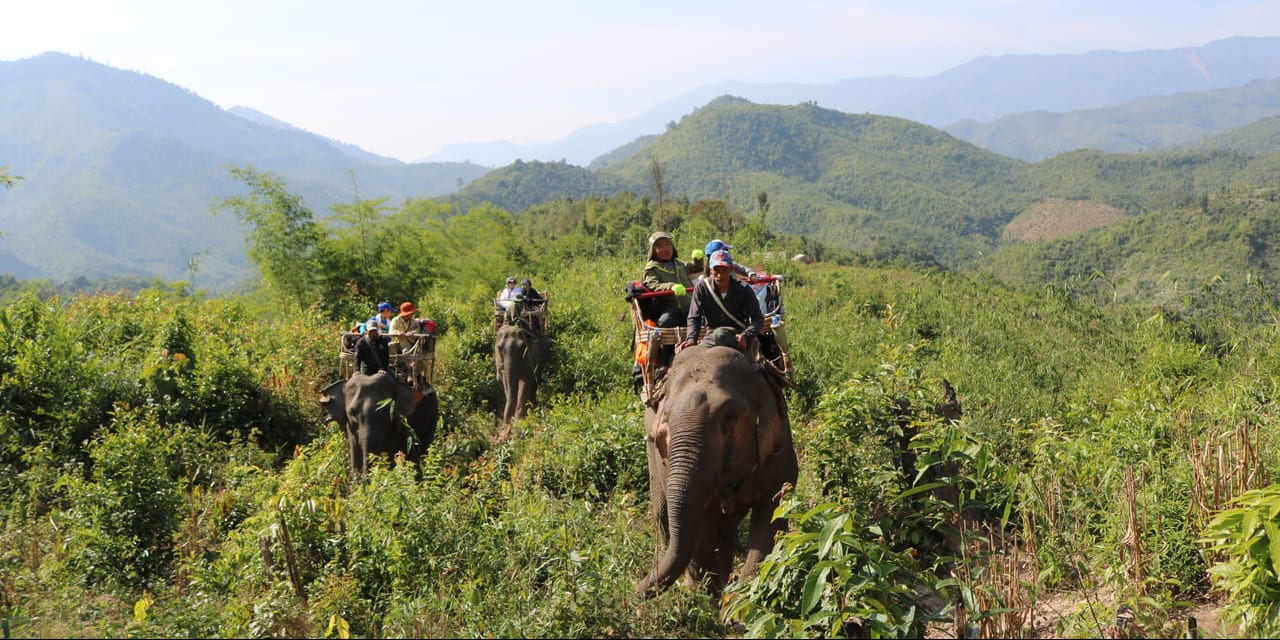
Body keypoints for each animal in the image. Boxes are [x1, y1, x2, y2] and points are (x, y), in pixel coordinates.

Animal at [634, 343, 793, 596]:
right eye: (665, 416)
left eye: (728, 416)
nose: (633, 595)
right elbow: (701, 528)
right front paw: (712, 597)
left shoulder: (779, 442)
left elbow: (771, 517)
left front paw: (740, 601)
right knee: (663, 514)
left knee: (724, 531)